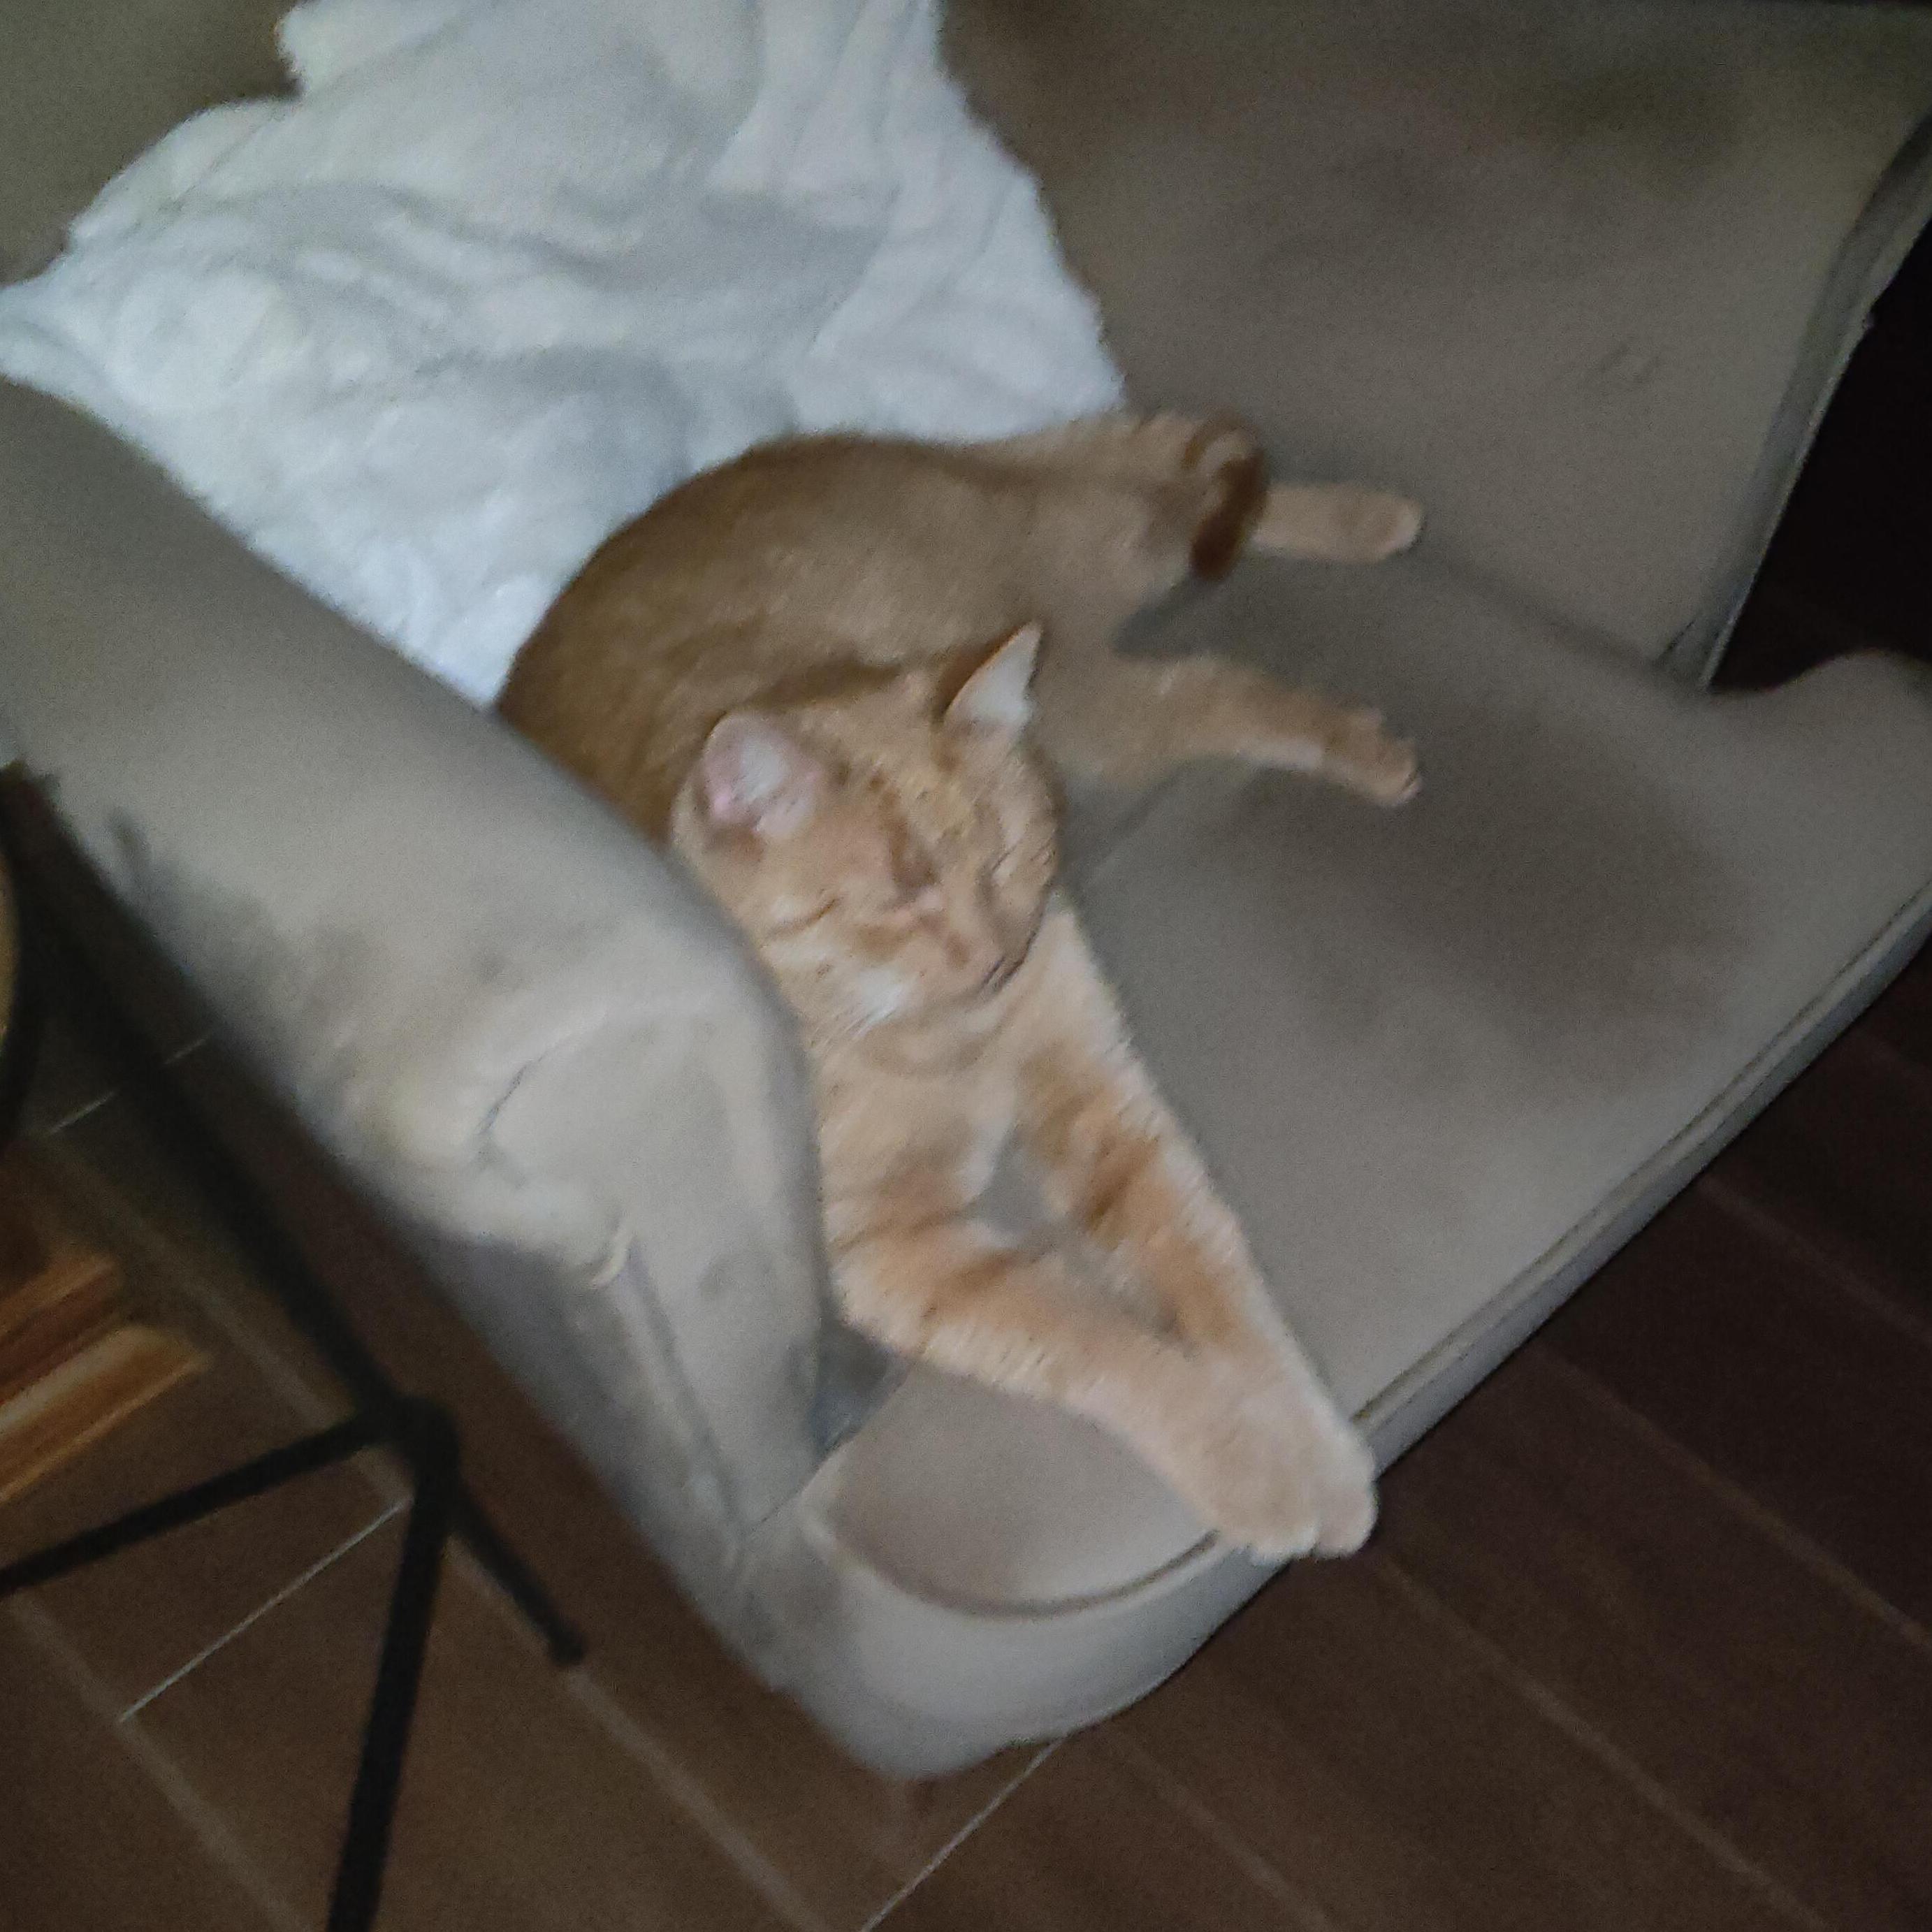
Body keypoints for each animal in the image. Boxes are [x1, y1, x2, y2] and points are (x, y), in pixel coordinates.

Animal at [497, 412, 1419, 1558]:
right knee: (1198, 630)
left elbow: (1214, 1274)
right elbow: (1108, 1345)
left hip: (1092, 637)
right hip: (1097, 680)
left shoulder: (1107, 1115)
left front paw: (1310, 1442)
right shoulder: (905, 1251)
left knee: (1189, 529)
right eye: (902, 894)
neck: (933, 1035)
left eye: (1006, 854)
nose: (993, 952)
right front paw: (1258, 1468)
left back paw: (1371, 531)